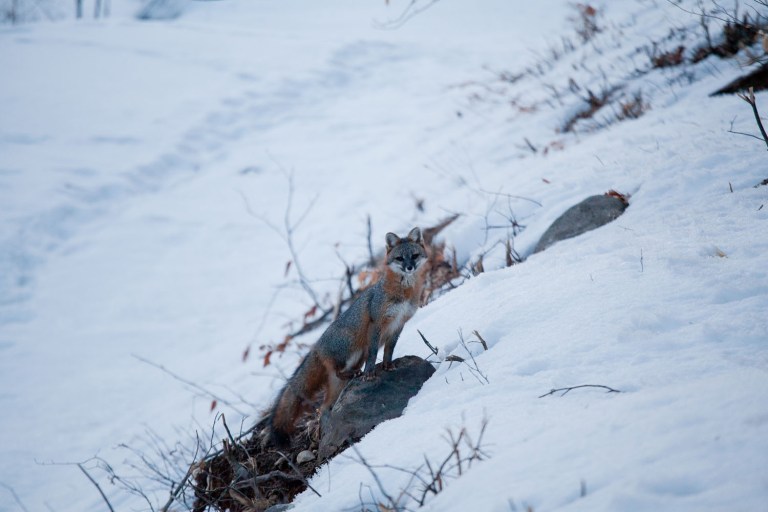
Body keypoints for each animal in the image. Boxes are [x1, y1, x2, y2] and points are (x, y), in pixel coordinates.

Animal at [268, 227, 428, 447]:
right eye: (400, 258)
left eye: (414, 255)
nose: (410, 267)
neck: (403, 292)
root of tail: (316, 346)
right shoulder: (376, 324)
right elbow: (373, 354)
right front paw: (370, 373)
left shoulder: (398, 325)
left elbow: (389, 349)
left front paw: (388, 365)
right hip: (352, 350)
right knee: (337, 374)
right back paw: (354, 377)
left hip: (348, 368)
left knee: (325, 405)